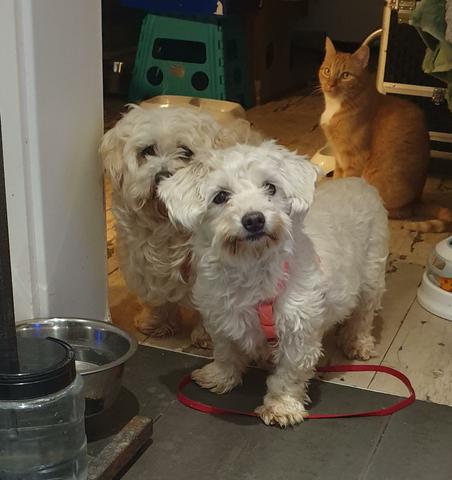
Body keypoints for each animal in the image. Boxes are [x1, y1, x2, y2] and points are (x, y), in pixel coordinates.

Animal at [100, 105, 261, 347]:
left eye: (186, 152)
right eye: (147, 150)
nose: (162, 175)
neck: (168, 226)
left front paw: (206, 334)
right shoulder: (144, 261)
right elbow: (155, 296)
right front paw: (157, 322)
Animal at [158, 141, 389, 426]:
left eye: (270, 187)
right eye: (220, 196)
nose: (254, 219)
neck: (251, 268)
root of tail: (360, 182)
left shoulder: (297, 334)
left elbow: (288, 375)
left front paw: (282, 407)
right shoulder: (221, 319)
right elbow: (225, 352)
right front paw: (219, 377)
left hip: (371, 277)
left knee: (363, 317)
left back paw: (357, 343)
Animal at [319, 37, 452, 233]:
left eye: (345, 75)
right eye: (327, 71)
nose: (330, 85)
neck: (336, 105)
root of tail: (417, 200)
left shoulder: (353, 160)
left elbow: (346, 186)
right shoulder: (339, 159)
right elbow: (337, 179)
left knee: (399, 213)